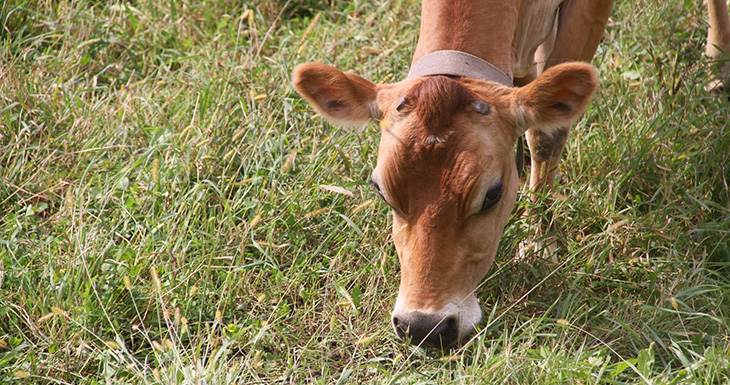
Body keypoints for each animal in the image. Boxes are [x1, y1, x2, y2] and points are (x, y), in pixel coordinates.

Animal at [292, 0, 728, 348]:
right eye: (381, 190)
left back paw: (717, 63)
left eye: (492, 194)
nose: (423, 326)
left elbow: (547, 129)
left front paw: (540, 241)